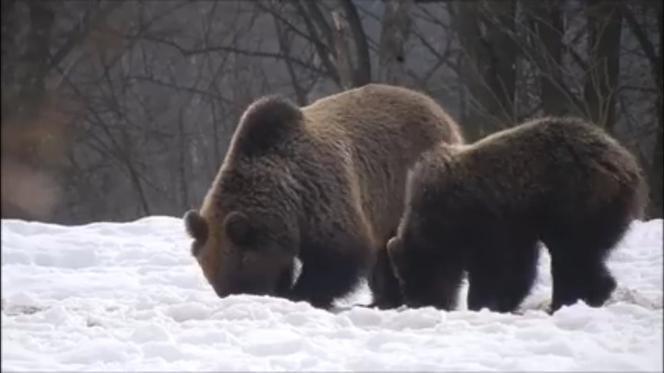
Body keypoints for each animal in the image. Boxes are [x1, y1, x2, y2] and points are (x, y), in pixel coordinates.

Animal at [182, 83, 462, 308]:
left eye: (240, 274)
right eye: (213, 278)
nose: (234, 297)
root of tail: (438, 108)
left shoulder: (324, 197)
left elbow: (339, 256)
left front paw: (300, 295)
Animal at [386, 115, 644, 310]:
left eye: (412, 276)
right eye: (404, 279)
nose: (418, 303)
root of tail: (625, 163)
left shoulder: (490, 221)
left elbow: (499, 267)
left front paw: (486, 302)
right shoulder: (514, 227)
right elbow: (518, 266)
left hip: (576, 201)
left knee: (573, 252)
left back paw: (571, 299)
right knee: (580, 255)